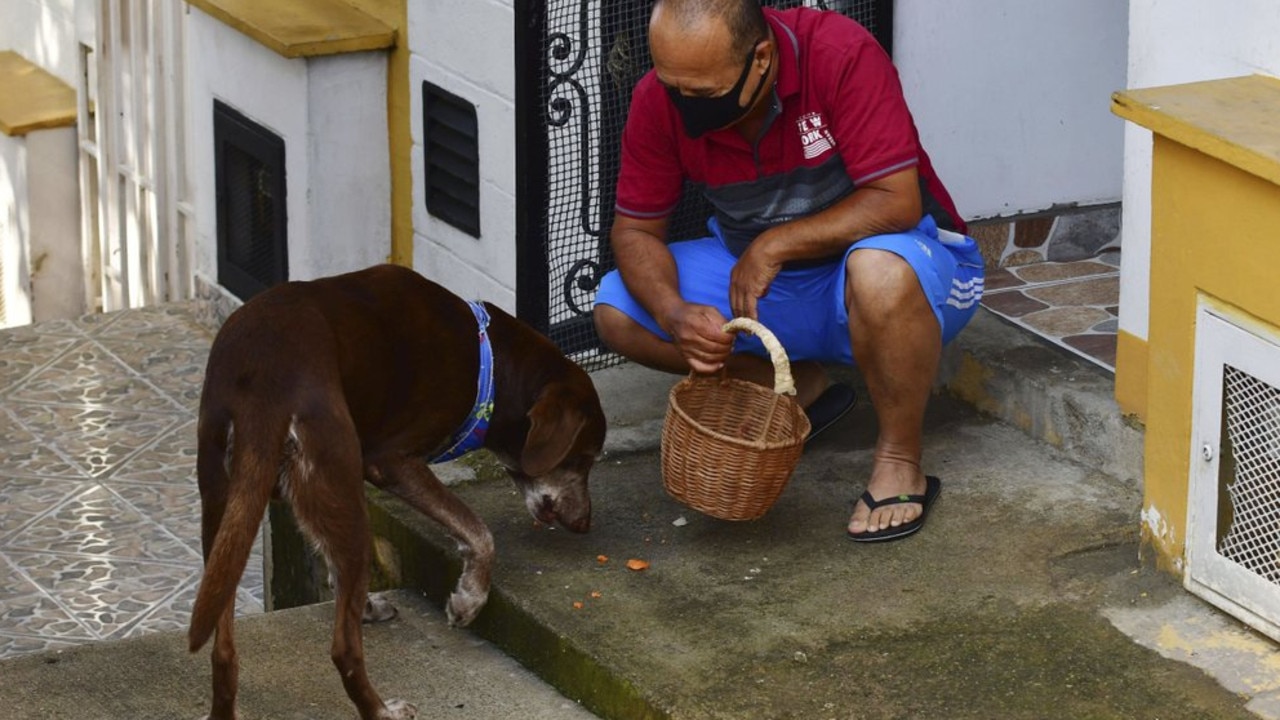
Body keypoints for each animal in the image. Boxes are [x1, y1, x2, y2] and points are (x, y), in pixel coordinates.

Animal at [186, 263, 606, 717]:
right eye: (584, 458)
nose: (584, 523)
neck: (489, 365)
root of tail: (263, 388)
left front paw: (368, 604)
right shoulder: (391, 462)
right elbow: (478, 531)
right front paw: (469, 600)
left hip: (225, 510)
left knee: (223, 648)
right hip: (340, 492)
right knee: (344, 648)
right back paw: (381, 710)